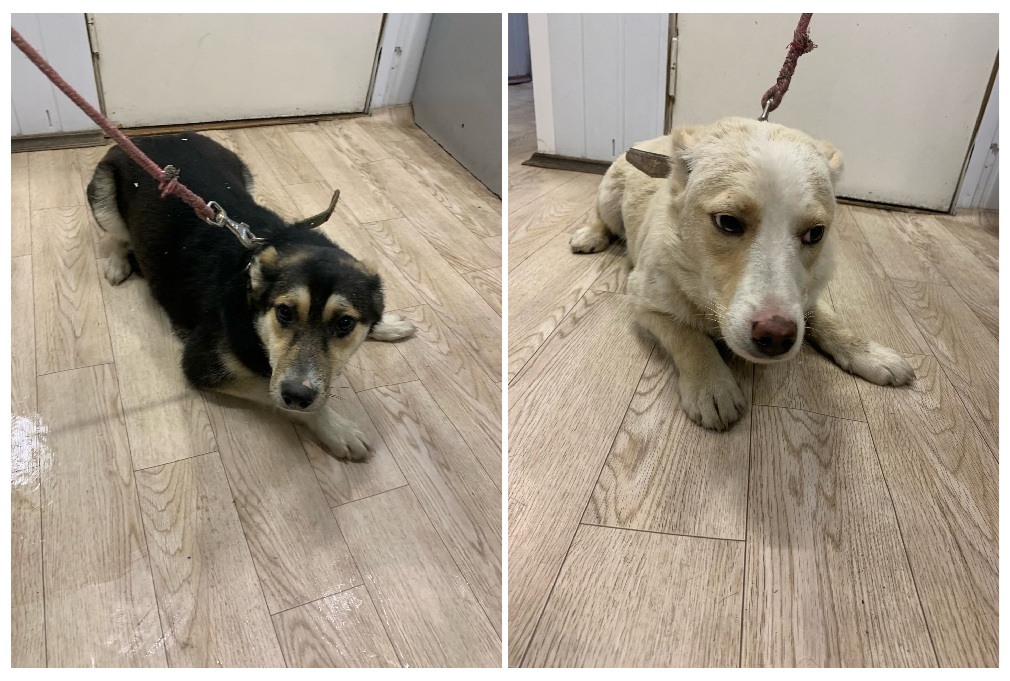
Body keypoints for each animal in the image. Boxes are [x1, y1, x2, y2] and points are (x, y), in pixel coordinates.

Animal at [87, 132, 414, 459]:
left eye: (345, 323)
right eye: (284, 312)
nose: (298, 394)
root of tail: (153, 135)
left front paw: (388, 324)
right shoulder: (204, 366)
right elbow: (277, 395)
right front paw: (336, 428)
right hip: (103, 197)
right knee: (116, 235)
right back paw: (117, 263)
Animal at [570, 117, 914, 431]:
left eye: (815, 233)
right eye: (728, 222)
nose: (776, 337)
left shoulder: (802, 298)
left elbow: (830, 321)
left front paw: (868, 353)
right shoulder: (645, 302)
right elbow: (689, 336)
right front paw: (711, 386)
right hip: (609, 197)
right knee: (601, 218)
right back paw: (590, 236)